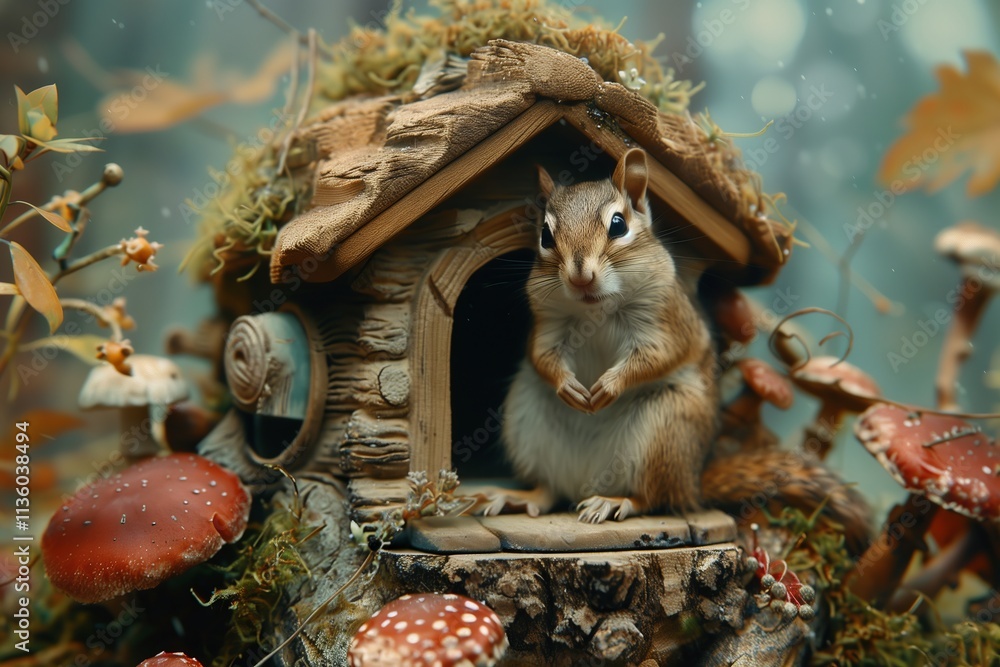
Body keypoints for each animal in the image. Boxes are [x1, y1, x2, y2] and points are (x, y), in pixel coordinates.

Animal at [482, 148, 870, 548]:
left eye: (618, 225)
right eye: (545, 235)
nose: (580, 277)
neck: (595, 310)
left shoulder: (667, 322)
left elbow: (658, 356)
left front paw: (609, 386)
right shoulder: (549, 324)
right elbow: (542, 356)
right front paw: (568, 387)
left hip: (664, 429)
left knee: (653, 498)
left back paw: (614, 501)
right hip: (527, 421)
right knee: (549, 490)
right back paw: (517, 496)